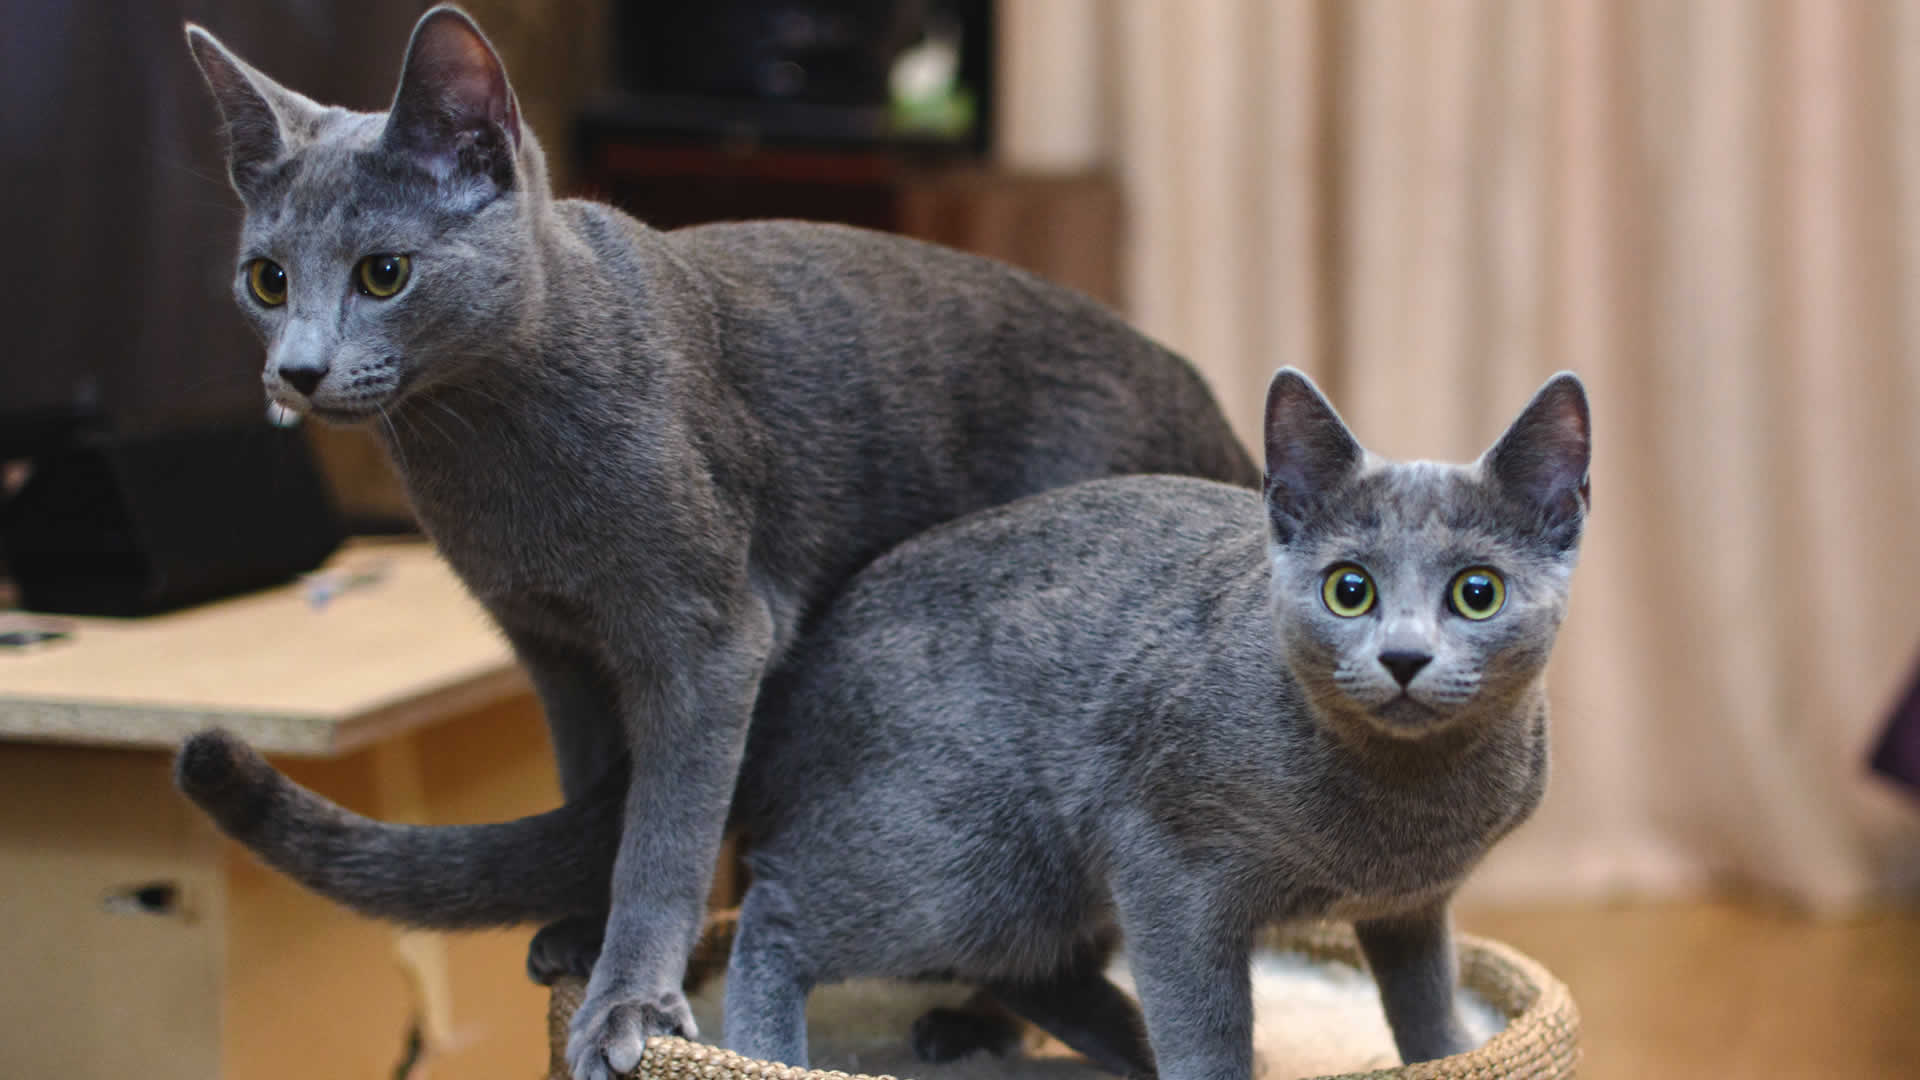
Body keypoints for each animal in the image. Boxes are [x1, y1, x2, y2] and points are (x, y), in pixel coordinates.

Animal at [180, 365, 1589, 1068]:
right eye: (1350, 588)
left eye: (1475, 593)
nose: (1402, 656)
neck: (1400, 806)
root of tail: (795, 668)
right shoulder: (1172, 869)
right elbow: (1214, 1026)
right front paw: (1197, 1055)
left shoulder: (1412, 905)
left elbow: (1424, 1006)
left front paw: (1450, 1051)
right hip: (964, 853)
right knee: (784, 915)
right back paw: (777, 1049)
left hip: (1034, 877)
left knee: (1034, 969)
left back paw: (1093, 1041)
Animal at [183, 8, 1259, 1076]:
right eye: (267, 281)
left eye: (384, 273)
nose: (297, 370)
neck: (487, 455)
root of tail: (1218, 420)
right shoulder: (554, 650)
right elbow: (603, 791)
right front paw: (584, 937)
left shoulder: (709, 637)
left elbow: (667, 829)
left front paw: (627, 1005)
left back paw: (981, 1020)